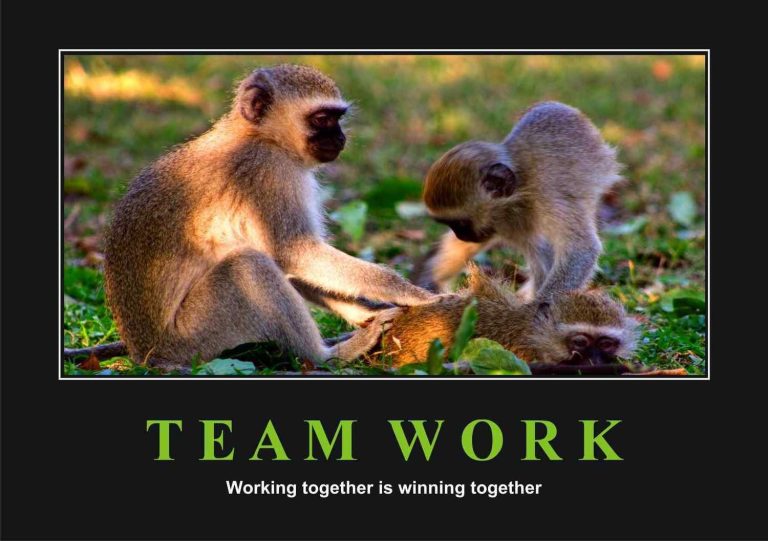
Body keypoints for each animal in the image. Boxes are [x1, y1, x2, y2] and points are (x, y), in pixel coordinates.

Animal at [100, 64, 435, 372]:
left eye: (338, 119)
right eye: (322, 119)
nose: (341, 138)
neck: (259, 135)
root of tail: (148, 355)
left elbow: (292, 262)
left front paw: (367, 312)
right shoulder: (271, 172)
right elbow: (294, 252)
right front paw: (414, 294)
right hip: (194, 338)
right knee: (248, 265)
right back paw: (325, 356)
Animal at [414, 101, 622, 303]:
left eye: (461, 224)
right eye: (451, 225)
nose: (461, 235)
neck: (520, 189)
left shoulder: (549, 200)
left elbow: (582, 249)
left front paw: (536, 309)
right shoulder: (504, 224)